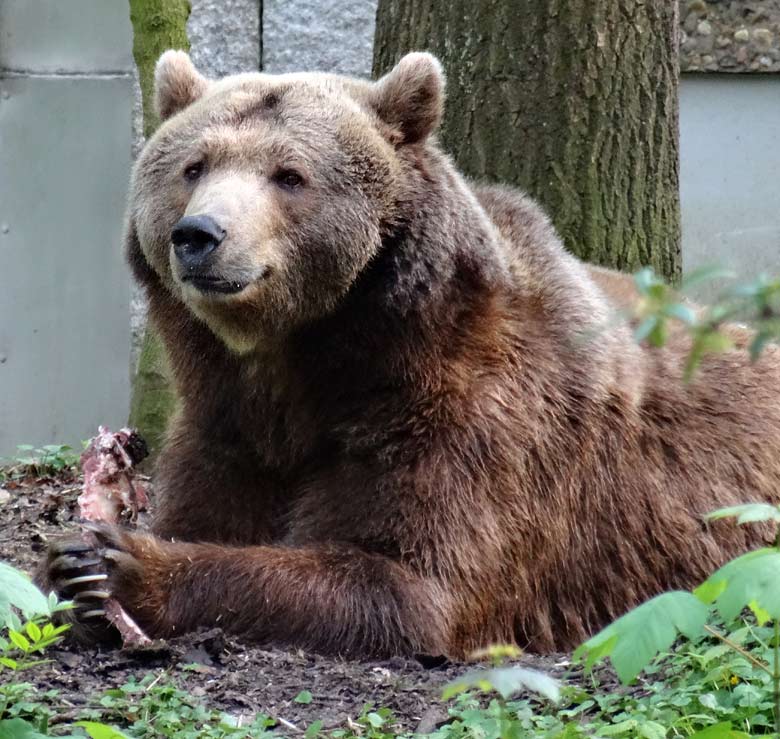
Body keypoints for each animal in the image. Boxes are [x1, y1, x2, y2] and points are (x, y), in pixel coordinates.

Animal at [44, 49, 780, 656]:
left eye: (289, 174)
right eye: (193, 166)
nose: (199, 235)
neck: (299, 362)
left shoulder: (466, 423)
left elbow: (404, 579)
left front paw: (123, 563)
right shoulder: (226, 423)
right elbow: (208, 506)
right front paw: (70, 564)